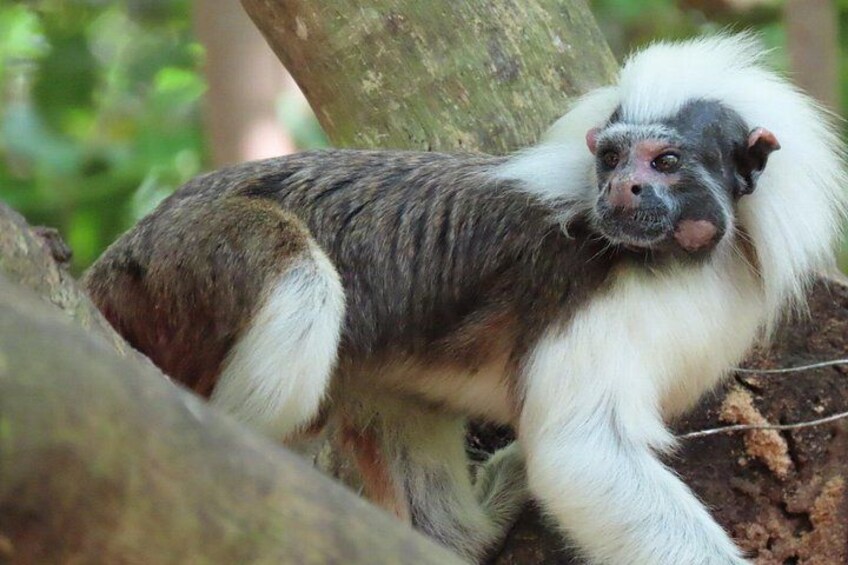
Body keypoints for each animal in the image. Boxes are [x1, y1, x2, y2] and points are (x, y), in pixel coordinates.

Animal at [83, 34, 847, 564]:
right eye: (610, 159)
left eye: (665, 162)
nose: (621, 190)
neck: (686, 262)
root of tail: (115, 258)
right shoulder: (579, 299)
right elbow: (582, 452)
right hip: (185, 258)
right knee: (299, 282)